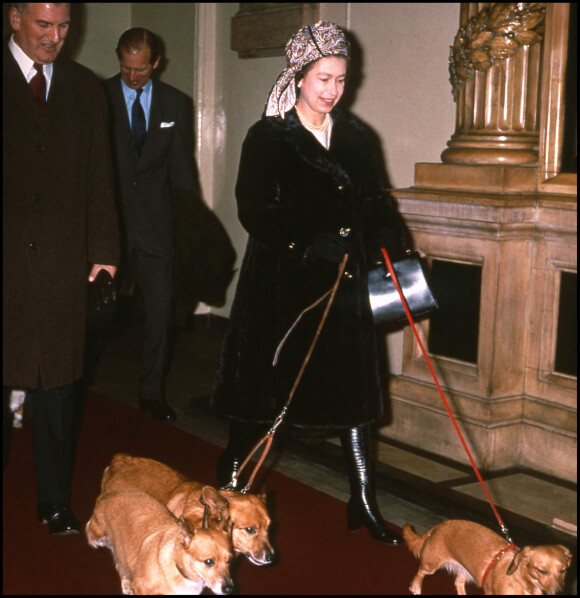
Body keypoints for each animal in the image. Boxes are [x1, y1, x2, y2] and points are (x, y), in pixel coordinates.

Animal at [86, 492, 233, 596]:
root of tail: (108, 495)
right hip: (98, 535)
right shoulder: (141, 587)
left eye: (230, 561)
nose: (229, 588)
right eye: (209, 562)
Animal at [404, 520, 572, 596]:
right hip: (431, 566)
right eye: (541, 570)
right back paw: (416, 587)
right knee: (420, 573)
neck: (523, 582)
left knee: (458, 582)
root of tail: (438, 526)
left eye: (563, 570)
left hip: (465, 571)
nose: (559, 594)